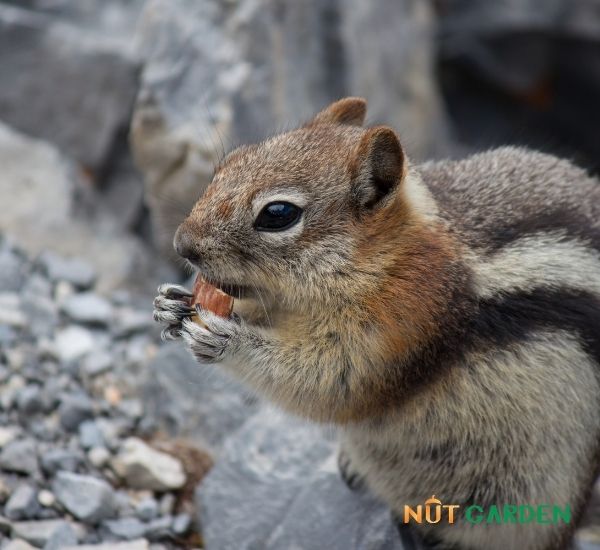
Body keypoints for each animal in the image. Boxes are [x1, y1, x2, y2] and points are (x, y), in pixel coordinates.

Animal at [152, 99, 600, 550]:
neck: (386, 259)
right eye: (229, 161)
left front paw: (226, 339)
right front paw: (172, 304)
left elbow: (331, 382)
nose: (181, 244)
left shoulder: (402, 326)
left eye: (278, 214)